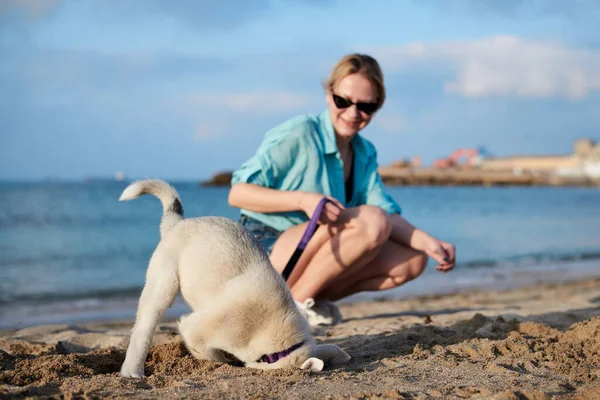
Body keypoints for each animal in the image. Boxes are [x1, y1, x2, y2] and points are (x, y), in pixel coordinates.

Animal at [118, 180, 352, 376]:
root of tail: (178, 223)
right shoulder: (194, 329)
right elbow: (210, 354)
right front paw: (224, 361)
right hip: (163, 283)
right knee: (143, 328)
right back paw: (132, 371)